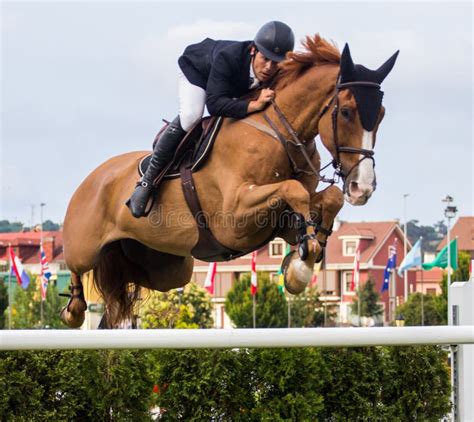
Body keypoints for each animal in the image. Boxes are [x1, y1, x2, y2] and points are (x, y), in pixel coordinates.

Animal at [61, 35, 398, 326]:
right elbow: (293, 189)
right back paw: (74, 309)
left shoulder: (278, 219)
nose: (362, 188)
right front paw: (303, 263)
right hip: (84, 246)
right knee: (77, 270)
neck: (279, 132)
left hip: (169, 266)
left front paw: (302, 260)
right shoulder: (233, 220)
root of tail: (92, 178)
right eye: (346, 111)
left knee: (126, 280)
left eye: (381, 114)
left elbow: (327, 198)